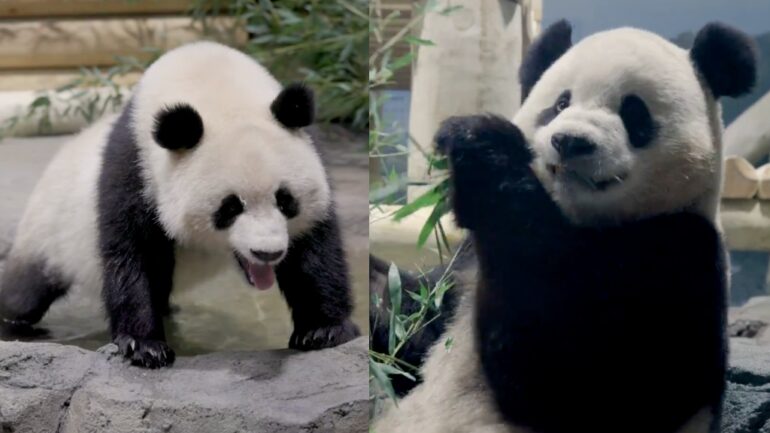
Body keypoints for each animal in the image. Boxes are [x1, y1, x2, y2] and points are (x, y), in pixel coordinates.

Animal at [0, 41, 360, 368]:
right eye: (230, 208)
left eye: (285, 201)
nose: (267, 253)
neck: (214, 83)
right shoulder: (135, 167)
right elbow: (134, 252)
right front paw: (144, 347)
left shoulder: (311, 155)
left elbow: (313, 249)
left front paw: (323, 330)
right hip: (48, 231)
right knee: (24, 292)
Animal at [373, 20, 757, 433]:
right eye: (560, 104)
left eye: (634, 114)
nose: (571, 141)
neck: (578, 222)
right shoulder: (465, 268)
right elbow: (413, 332)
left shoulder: (679, 254)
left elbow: (573, 376)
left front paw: (483, 145)